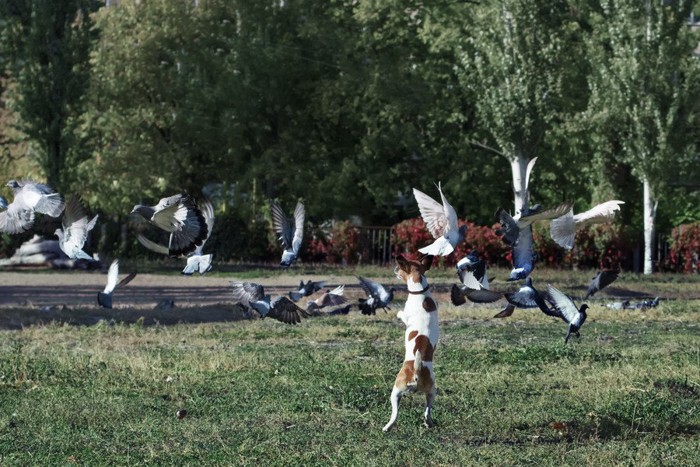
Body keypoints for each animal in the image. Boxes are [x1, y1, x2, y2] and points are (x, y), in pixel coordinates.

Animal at [382, 254, 438, 434]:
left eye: (400, 268)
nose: (394, 269)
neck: (420, 289)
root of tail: (417, 371)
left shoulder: (406, 316)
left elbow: (402, 315)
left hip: (395, 391)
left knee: (394, 414)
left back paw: (387, 427)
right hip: (431, 392)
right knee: (427, 411)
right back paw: (428, 423)